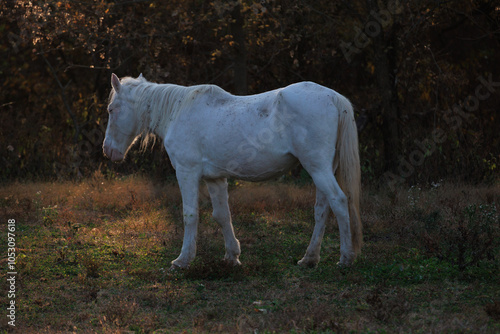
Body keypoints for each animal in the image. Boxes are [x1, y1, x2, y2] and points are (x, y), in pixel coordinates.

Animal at [103, 73, 362, 268]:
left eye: (111, 109)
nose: (108, 150)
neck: (178, 111)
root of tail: (334, 97)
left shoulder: (187, 173)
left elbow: (190, 215)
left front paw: (183, 260)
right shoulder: (215, 178)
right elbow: (222, 215)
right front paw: (232, 256)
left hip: (317, 167)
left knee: (339, 201)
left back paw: (346, 258)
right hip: (322, 169)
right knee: (322, 209)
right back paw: (309, 258)